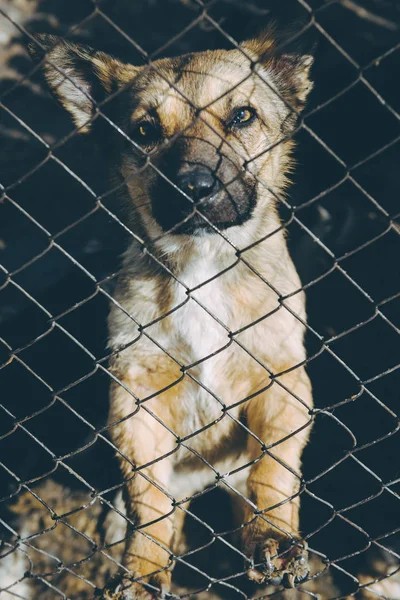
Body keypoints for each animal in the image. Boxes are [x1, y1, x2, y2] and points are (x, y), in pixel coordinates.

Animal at [28, 25, 316, 596]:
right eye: (144, 130)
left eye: (242, 116)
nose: (195, 188)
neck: (202, 264)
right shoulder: (135, 396)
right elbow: (149, 500)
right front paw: (142, 567)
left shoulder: (283, 380)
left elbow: (273, 469)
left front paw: (274, 534)